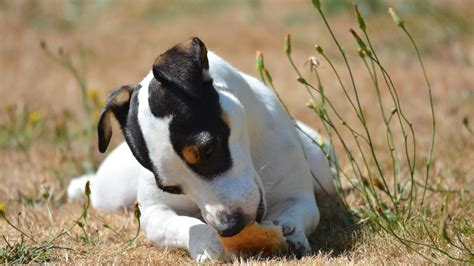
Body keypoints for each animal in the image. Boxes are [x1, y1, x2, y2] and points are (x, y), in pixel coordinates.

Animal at [67, 37, 336, 262]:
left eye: (209, 149)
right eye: (171, 188)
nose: (229, 227)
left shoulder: (299, 197)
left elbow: (298, 211)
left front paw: (291, 231)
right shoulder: (154, 213)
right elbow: (184, 225)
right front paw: (205, 242)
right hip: (112, 194)